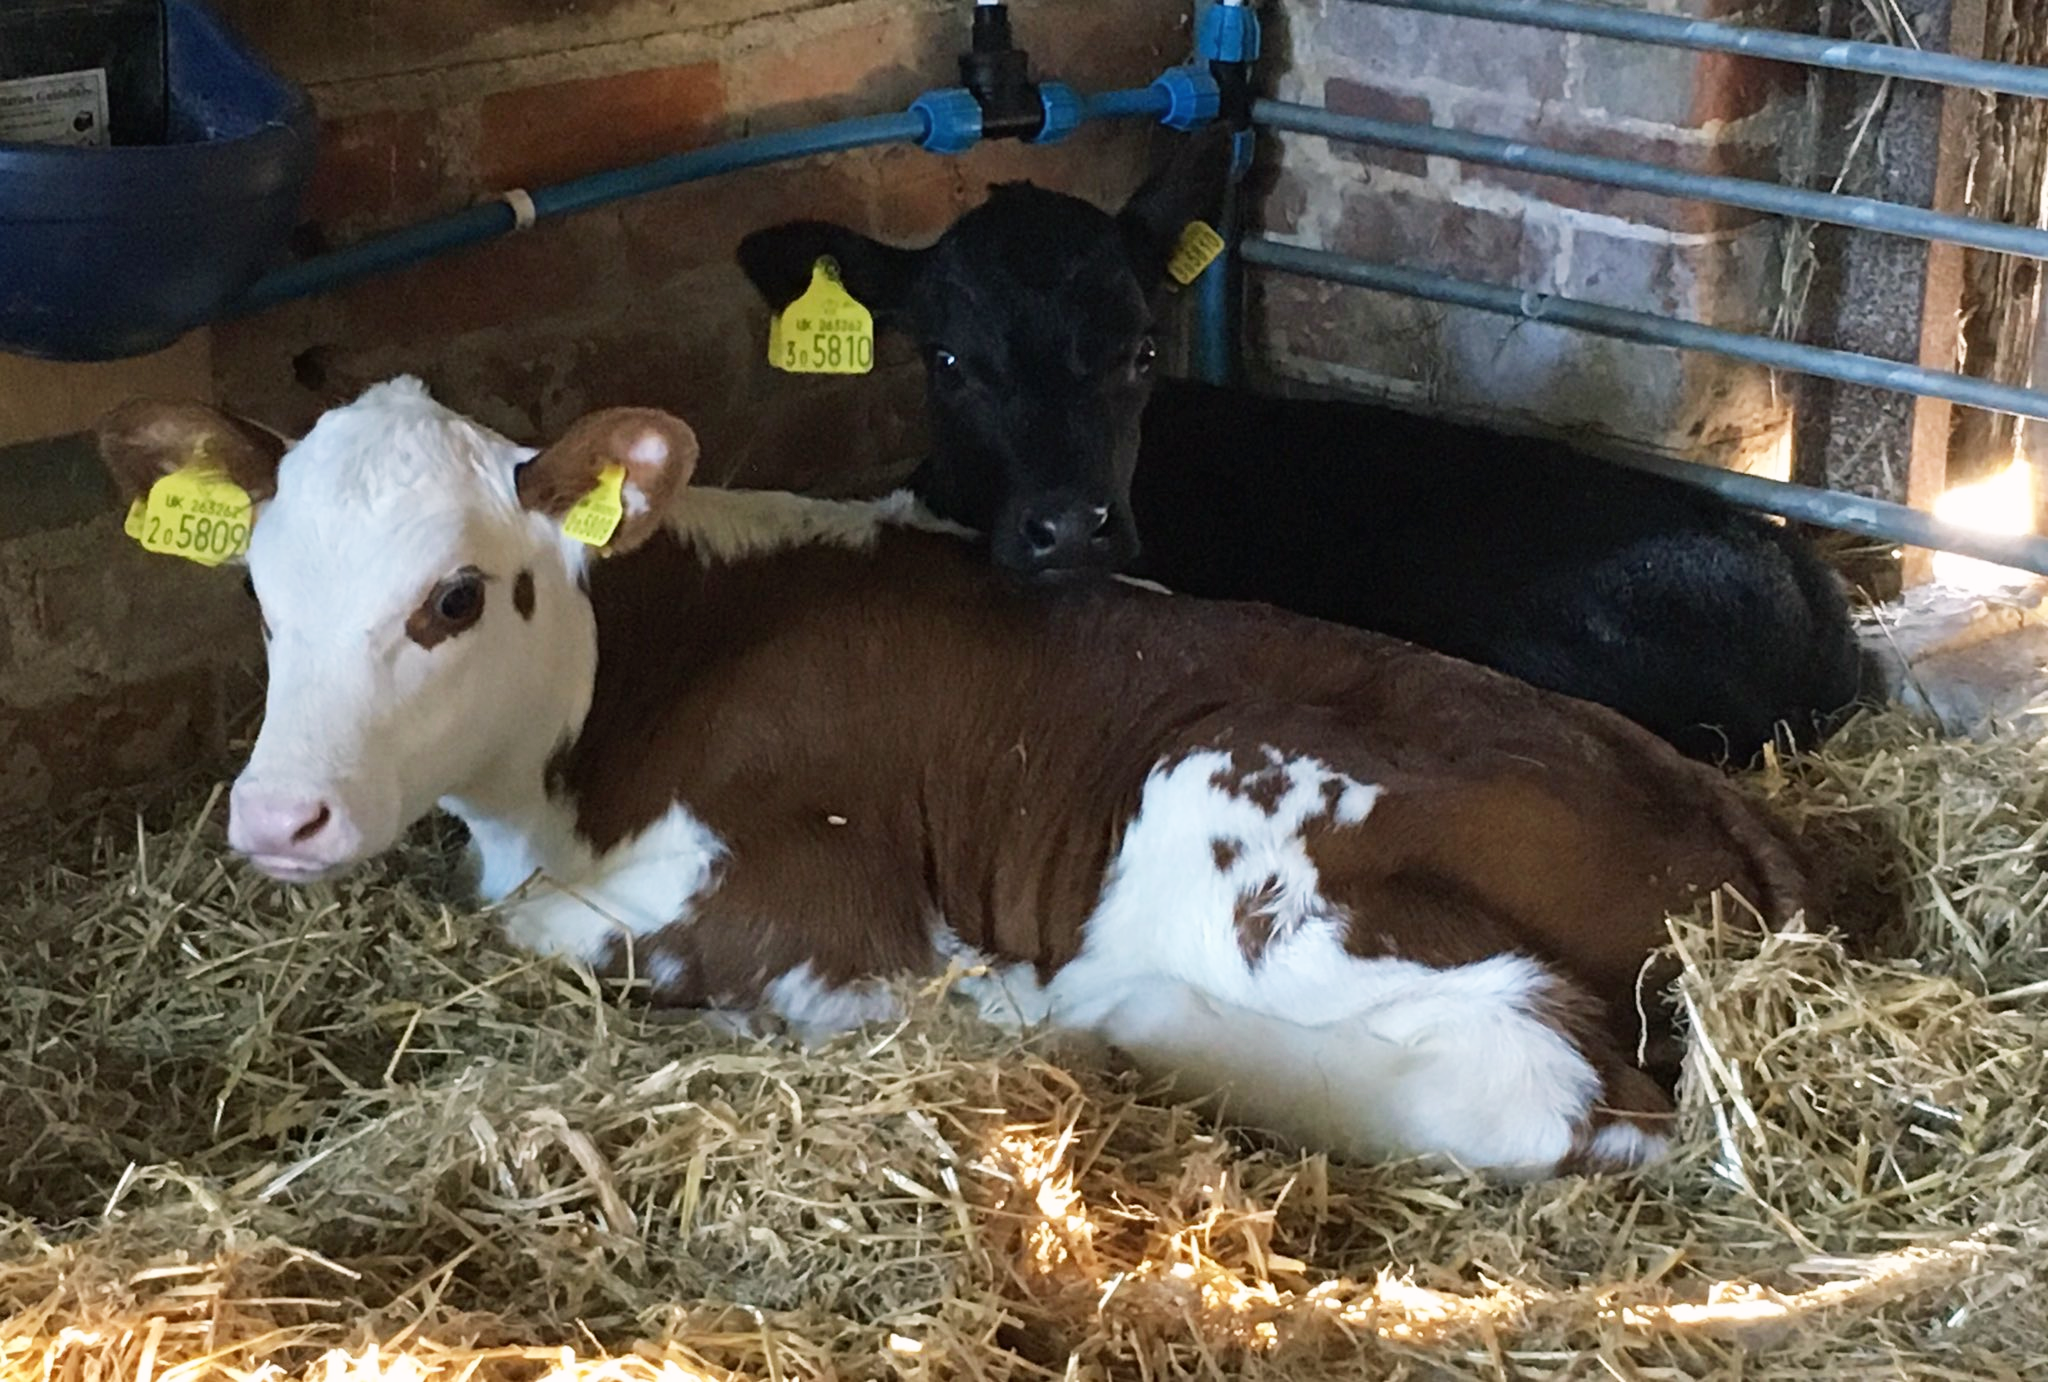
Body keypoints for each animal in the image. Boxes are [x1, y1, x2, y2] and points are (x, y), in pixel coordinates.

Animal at [98, 378, 1809, 1178]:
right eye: (258, 590)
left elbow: (561, 933)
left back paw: (1099, 1008)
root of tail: (1735, 821)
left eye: (454, 596)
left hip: (1242, 803)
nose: (277, 817)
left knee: (1548, 1083)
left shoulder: (830, 894)